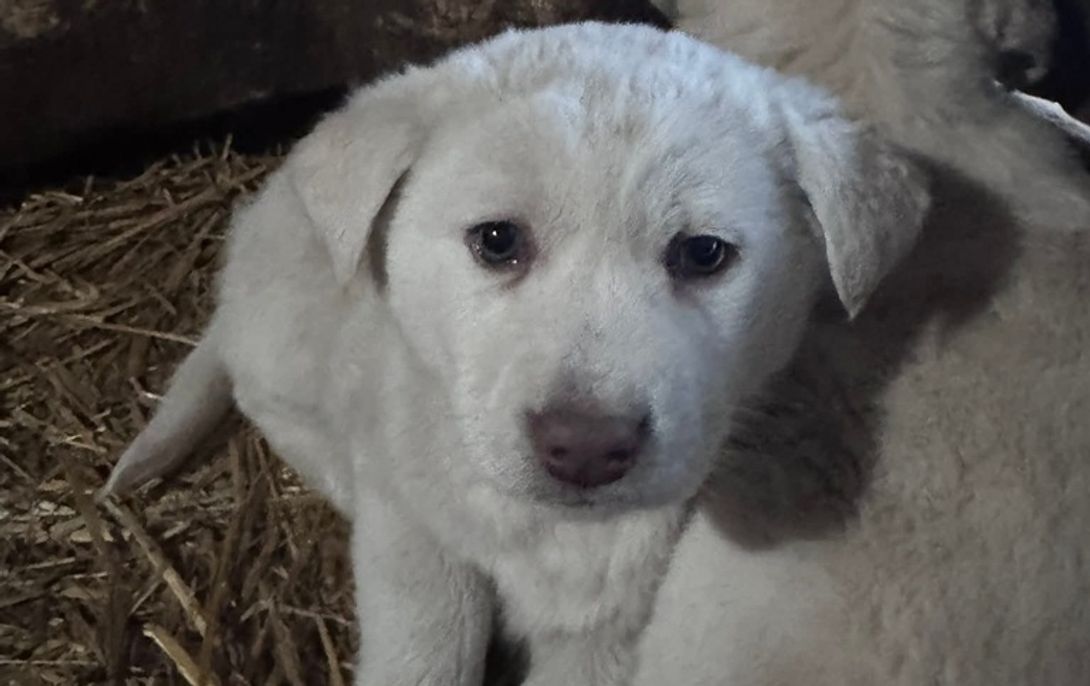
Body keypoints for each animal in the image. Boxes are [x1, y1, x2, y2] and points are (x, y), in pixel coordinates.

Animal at [100, 22, 929, 686]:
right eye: (497, 241)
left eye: (703, 254)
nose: (586, 447)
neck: (557, 530)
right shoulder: (416, 537)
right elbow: (424, 653)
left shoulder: (614, 627)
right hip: (290, 328)